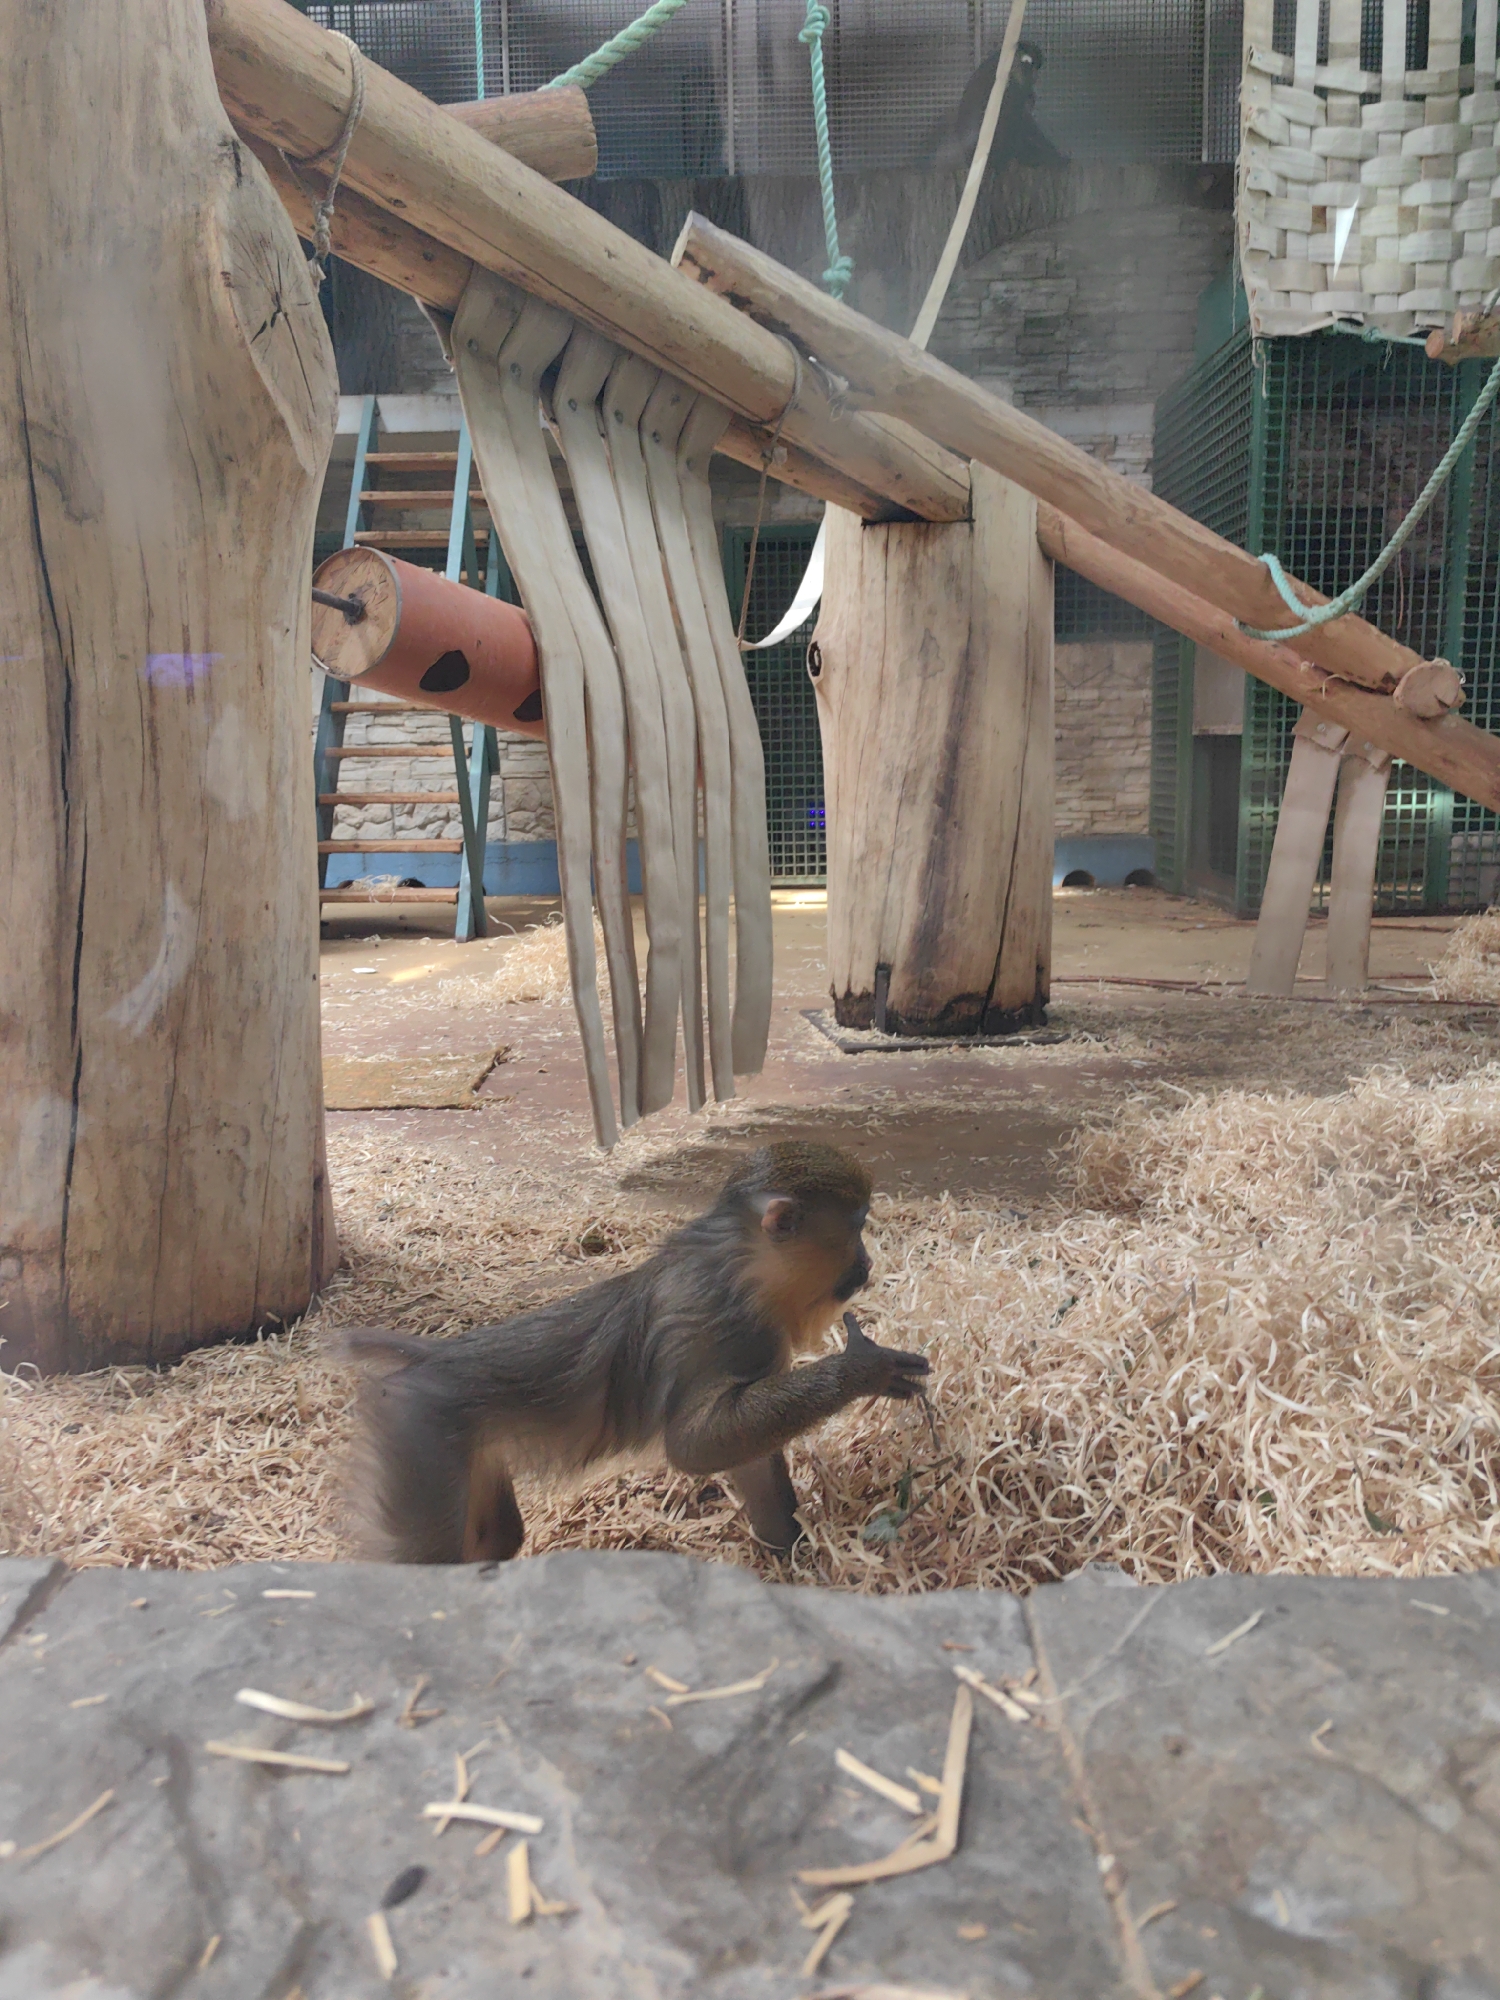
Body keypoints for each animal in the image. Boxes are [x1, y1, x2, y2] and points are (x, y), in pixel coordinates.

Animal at [343, 1141, 929, 1564]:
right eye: (857, 1227)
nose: (867, 1264)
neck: (744, 1266)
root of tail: (426, 1364)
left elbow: (748, 1459)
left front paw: (792, 1556)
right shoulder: (720, 1324)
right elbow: (693, 1445)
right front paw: (862, 1368)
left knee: (498, 1537)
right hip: (420, 1439)